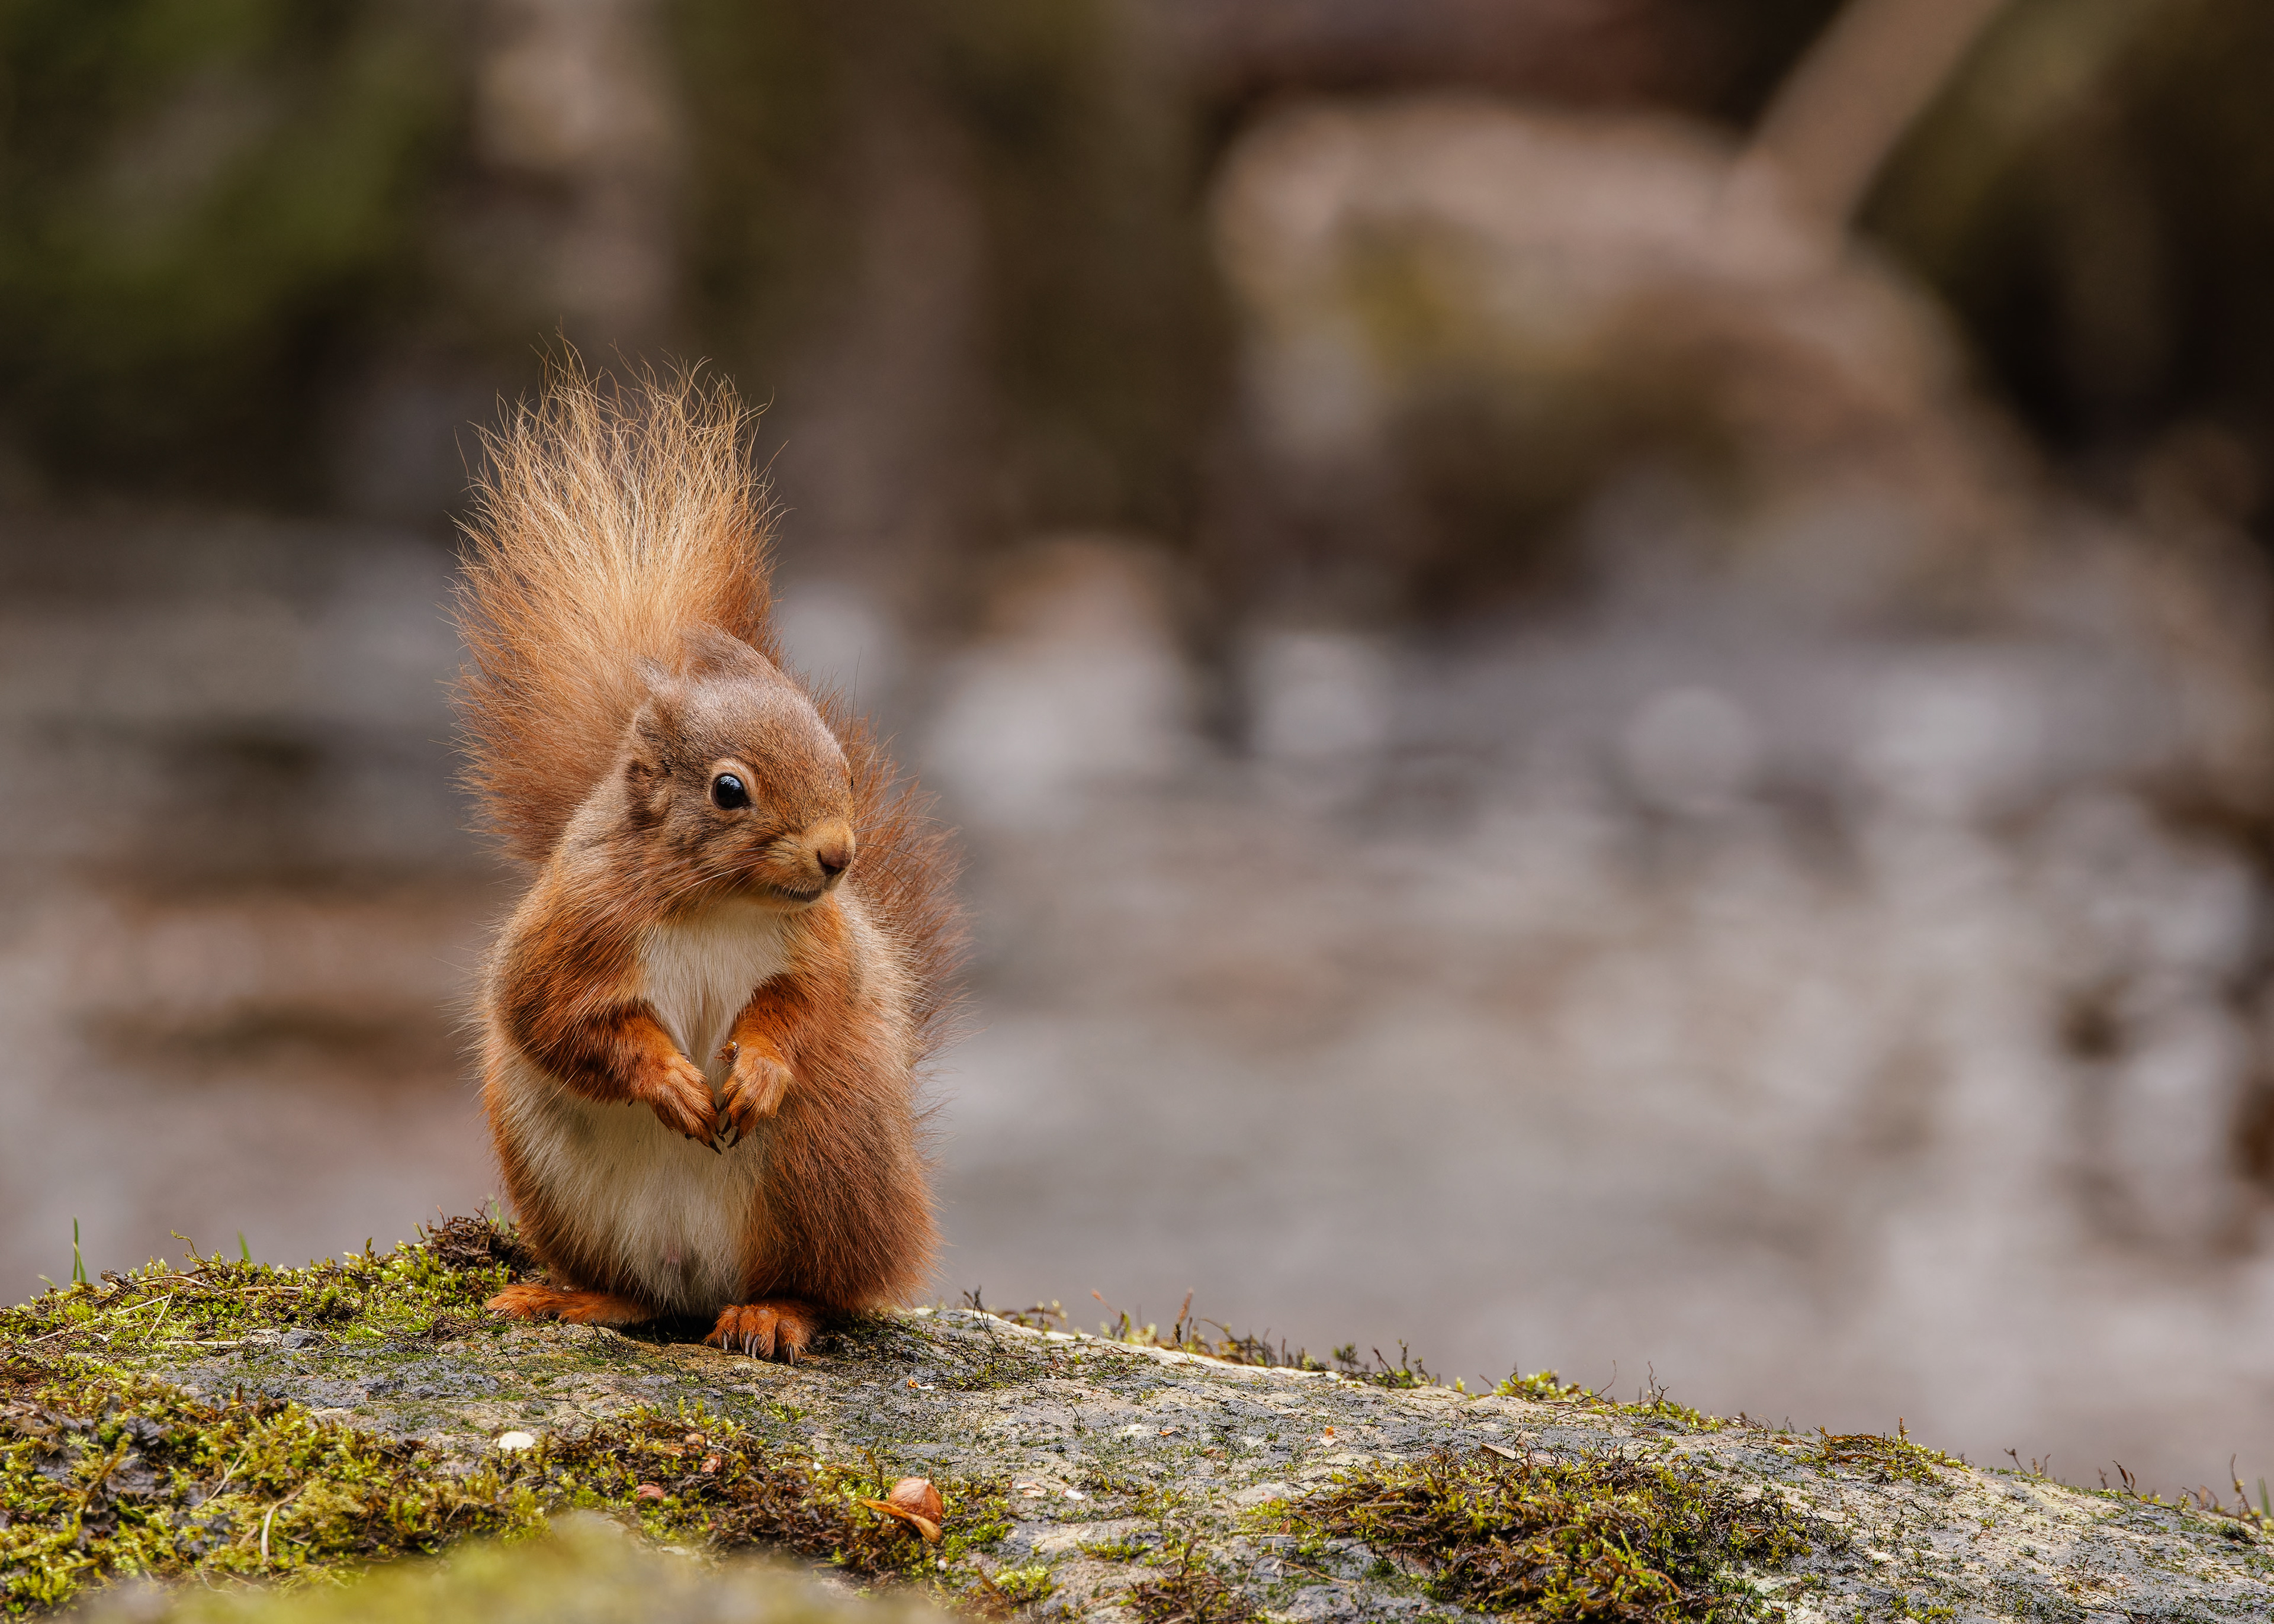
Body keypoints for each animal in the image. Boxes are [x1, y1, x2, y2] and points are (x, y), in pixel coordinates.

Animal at [451, 364, 963, 1361]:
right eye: (730, 790)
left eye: (842, 763)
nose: (838, 854)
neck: (722, 905)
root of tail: (702, 1281)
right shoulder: (574, 932)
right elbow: (557, 1018)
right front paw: (671, 1081)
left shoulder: (822, 953)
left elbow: (805, 1012)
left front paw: (756, 1066)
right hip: (558, 1181)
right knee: (644, 1294)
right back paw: (575, 1297)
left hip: (822, 1164)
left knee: (828, 1287)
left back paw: (773, 1312)